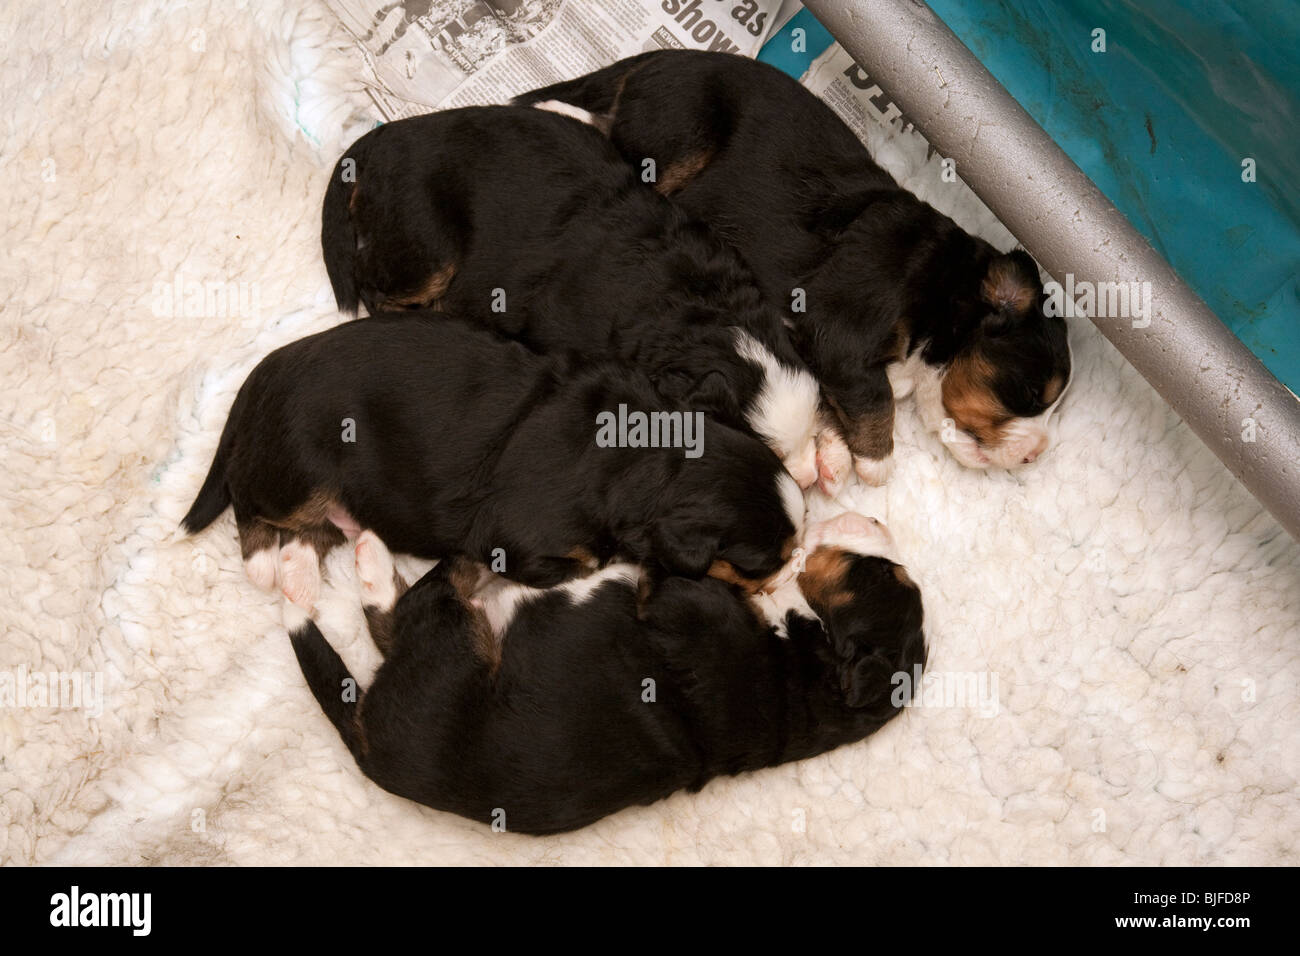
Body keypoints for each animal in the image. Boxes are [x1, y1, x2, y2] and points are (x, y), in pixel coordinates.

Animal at [180, 317, 800, 608]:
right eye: (762, 562)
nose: (794, 568)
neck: (646, 455)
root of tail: (268, 368)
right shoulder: (520, 544)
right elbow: (581, 566)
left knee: (317, 533)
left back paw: (304, 574)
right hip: (297, 472)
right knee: (250, 503)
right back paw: (268, 565)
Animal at [284, 512, 925, 832]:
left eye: (882, 575)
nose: (876, 518)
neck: (811, 674)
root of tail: (370, 754)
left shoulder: (674, 598)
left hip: (454, 648)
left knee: (409, 604)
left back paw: (363, 557)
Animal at [512, 49, 1071, 481]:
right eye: (1028, 394)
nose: (1036, 455)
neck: (946, 289)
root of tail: (666, 57)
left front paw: (833, 454)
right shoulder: (840, 325)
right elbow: (875, 397)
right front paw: (874, 463)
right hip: (679, 131)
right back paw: (555, 109)